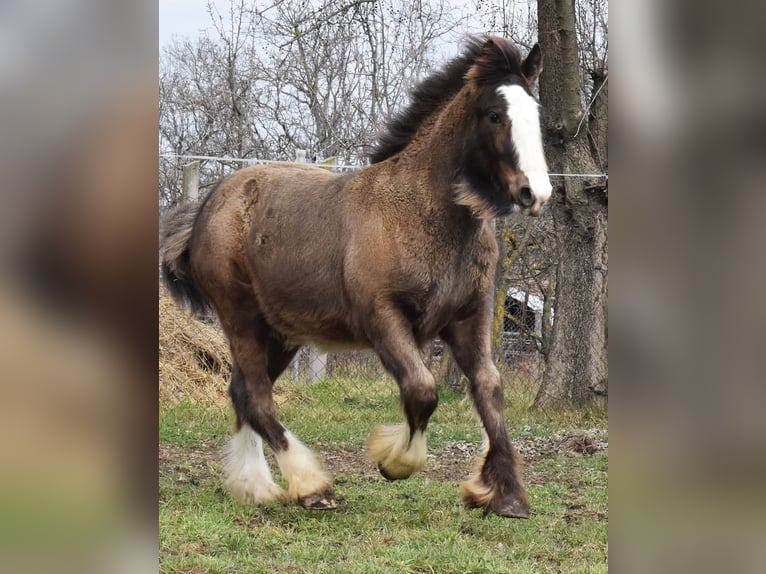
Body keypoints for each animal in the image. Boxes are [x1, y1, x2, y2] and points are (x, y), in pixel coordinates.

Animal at [160, 37, 552, 520]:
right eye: (495, 114)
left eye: (535, 112)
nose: (535, 193)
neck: (422, 214)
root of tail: (209, 204)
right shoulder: (383, 318)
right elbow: (422, 389)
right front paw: (394, 461)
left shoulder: (468, 317)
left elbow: (489, 389)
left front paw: (506, 494)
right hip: (241, 319)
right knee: (255, 396)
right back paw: (310, 486)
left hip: (282, 333)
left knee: (242, 393)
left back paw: (255, 486)